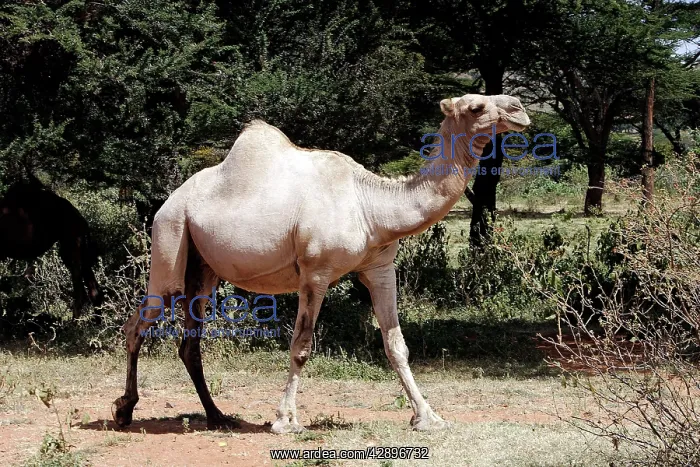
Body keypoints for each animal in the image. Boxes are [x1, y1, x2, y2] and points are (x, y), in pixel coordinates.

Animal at [112, 94, 530, 433]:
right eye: (476, 107)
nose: (520, 109)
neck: (372, 206)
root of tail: (169, 200)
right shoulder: (315, 272)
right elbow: (301, 345)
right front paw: (285, 421)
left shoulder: (380, 268)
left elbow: (396, 344)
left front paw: (427, 417)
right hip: (170, 235)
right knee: (140, 321)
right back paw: (124, 410)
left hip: (204, 270)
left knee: (189, 343)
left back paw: (217, 416)